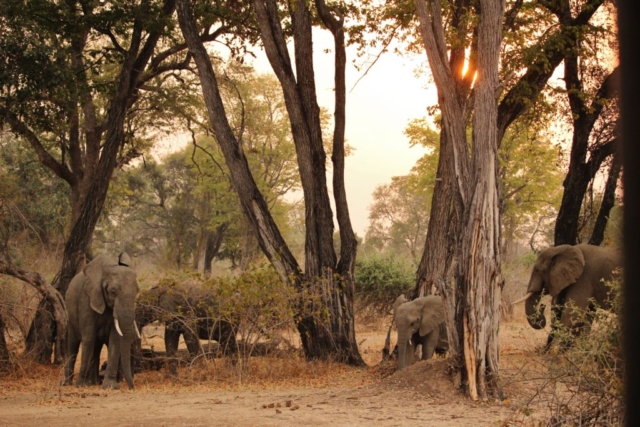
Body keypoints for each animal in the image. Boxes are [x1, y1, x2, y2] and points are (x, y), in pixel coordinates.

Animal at [63, 253, 140, 389]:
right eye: (113, 292)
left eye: (137, 292)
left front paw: (110, 386)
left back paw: (93, 382)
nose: (132, 387)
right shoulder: (86, 298)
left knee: (96, 347)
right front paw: (80, 385)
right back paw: (68, 383)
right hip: (70, 316)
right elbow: (88, 337)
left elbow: (115, 339)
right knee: (73, 345)